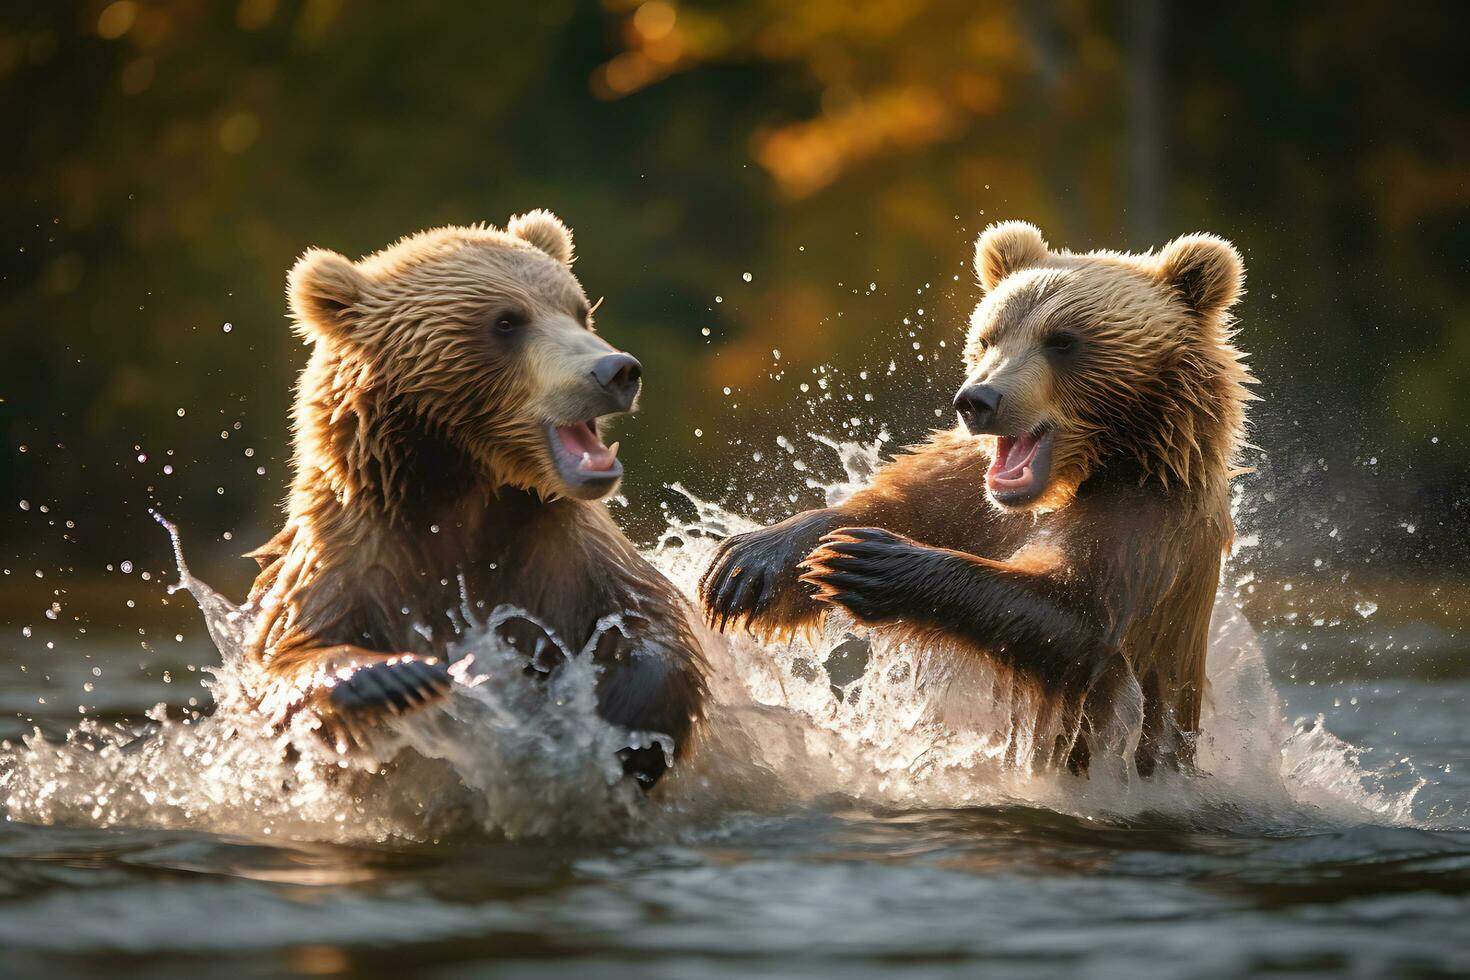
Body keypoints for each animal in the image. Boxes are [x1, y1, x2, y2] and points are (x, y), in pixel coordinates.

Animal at [239, 208, 705, 787]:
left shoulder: (563, 554)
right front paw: (391, 677)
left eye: (579, 310)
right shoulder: (354, 562)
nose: (616, 370)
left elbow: (651, 623)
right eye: (506, 322)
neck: (459, 488)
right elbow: (284, 667)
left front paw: (623, 727)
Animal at [702, 220, 1252, 775]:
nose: (978, 400)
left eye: (1063, 341)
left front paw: (867, 563)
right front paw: (752, 562)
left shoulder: (1145, 521)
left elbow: (1079, 616)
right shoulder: (971, 492)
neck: (1072, 479)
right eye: (988, 337)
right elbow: (903, 502)